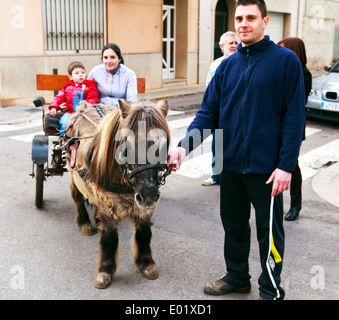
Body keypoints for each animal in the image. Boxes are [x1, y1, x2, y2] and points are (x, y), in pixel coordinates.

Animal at [64, 99, 171, 288]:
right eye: (126, 145)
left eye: (164, 145)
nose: (148, 195)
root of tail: (83, 106)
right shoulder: (107, 205)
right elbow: (109, 237)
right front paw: (105, 271)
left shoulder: (143, 207)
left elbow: (144, 233)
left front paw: (146, 264)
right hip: (73, 172)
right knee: (76, 195)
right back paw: (85, 222)